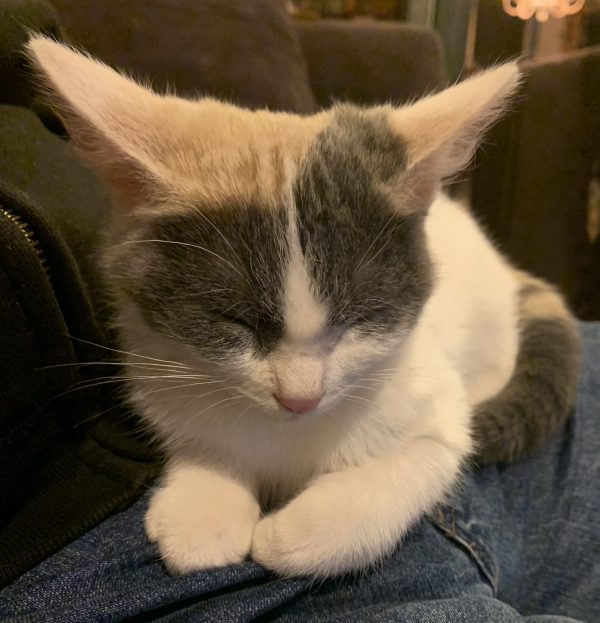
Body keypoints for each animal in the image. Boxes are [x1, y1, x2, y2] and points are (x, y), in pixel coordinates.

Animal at [28, 37, 580, 578]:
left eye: (358, 321)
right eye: (233, 321)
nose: (300, 398)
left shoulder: (438, 415)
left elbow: (415, 463)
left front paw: (295, 534)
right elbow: (205, 440)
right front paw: (204, 504)